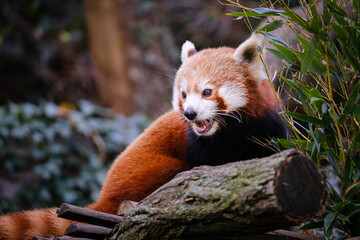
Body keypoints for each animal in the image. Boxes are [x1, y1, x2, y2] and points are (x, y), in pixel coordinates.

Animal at [0, 34, 286, 239]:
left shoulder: (269, 128)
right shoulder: (198, 145)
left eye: (207, 92)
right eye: (183, 95)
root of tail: (106, 195)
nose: (190, 113)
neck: (232, 132)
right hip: (147, 173)